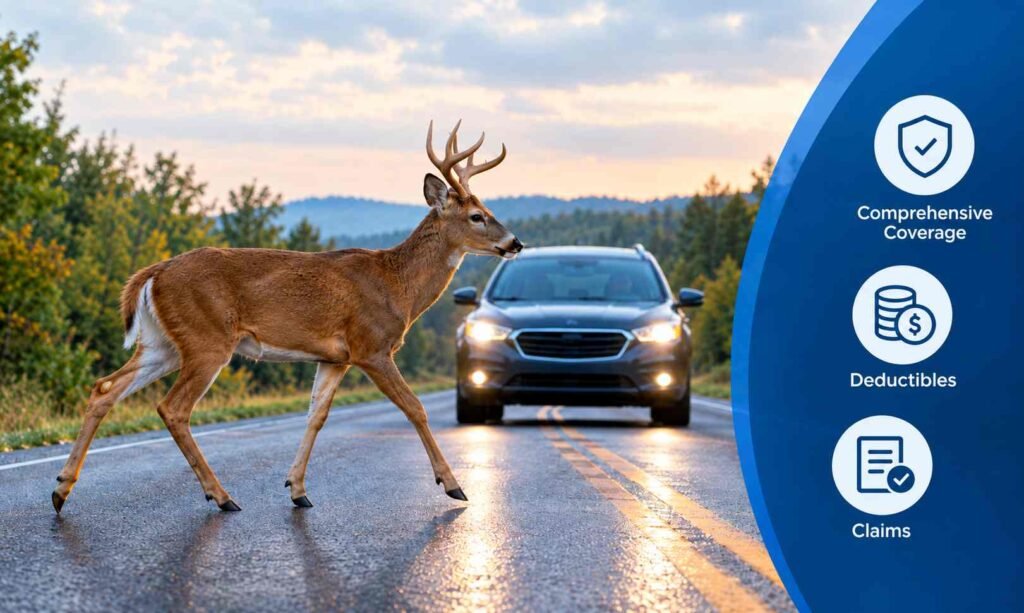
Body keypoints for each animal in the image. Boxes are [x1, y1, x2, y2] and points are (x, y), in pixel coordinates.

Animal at [52, 121, 523, 513]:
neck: (397, 287)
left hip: (161, 342)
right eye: (477, 216)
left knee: (105, 388)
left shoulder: (334, 357)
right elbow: (415, 408)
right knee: (173, 407)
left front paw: (297, 490)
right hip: (207, 339)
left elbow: (316, 416)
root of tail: (153, 273)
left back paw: (61, 490)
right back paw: (222, 496)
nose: (515, 243)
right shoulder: (371, 346)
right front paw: (453, 485)